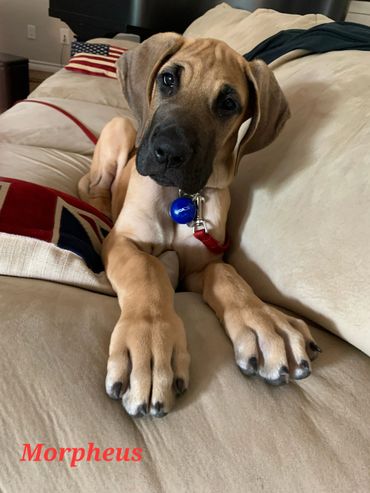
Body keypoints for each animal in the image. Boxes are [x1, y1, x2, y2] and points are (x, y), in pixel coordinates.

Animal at [79, 32, 320, 418]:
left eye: (228, 103)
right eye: (168, 79)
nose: (167, 153)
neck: (180, 196)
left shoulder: (202, 264)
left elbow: (227, 275)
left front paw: (266, 320)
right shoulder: (124, 242)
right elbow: (146, 271)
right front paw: (150, 347)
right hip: (123, 127)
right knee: (92, 186)